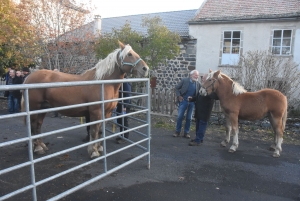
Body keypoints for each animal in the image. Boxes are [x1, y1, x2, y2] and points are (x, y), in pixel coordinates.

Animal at [21, 41, 149, 159]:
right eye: (129, 54)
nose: (145, 69)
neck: (103, 83)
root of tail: (28, 77)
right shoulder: (96, 112)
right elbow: (94, 131)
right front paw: (93, 151)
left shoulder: (106, 113)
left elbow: (101, 131)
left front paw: (100, 148)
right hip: (34, 108)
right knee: (33, 126)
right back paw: (38, 148)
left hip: (43, 108)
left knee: (38, 126)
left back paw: (42, 146)